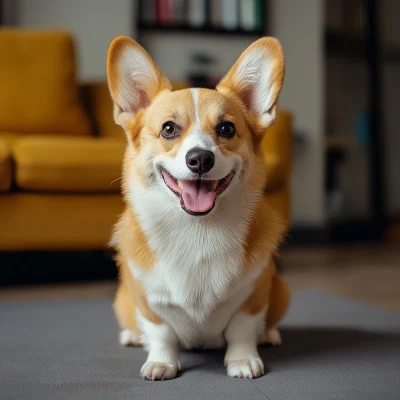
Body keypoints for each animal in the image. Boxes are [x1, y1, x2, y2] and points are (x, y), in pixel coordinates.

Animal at [107, 35, 290, 382]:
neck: (196, 228)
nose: (200, 159)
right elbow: (161, 332)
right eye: (168, 129)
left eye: (227, 129)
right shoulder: (148, 300)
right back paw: (132, 336)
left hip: (280, 290)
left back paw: (270, 335)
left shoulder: (254, 294)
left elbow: (242, 329)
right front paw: (161, 362)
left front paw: (243, 360)